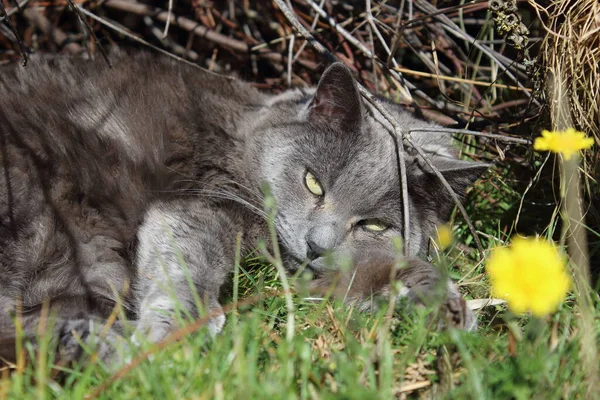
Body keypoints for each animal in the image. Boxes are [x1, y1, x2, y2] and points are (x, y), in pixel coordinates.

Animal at [0, 50, 488, 366]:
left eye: (372, 225)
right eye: (313, 182)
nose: (316, 246)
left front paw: (445, 307)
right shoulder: (201, 204)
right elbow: (188, 263)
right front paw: (177, 333)